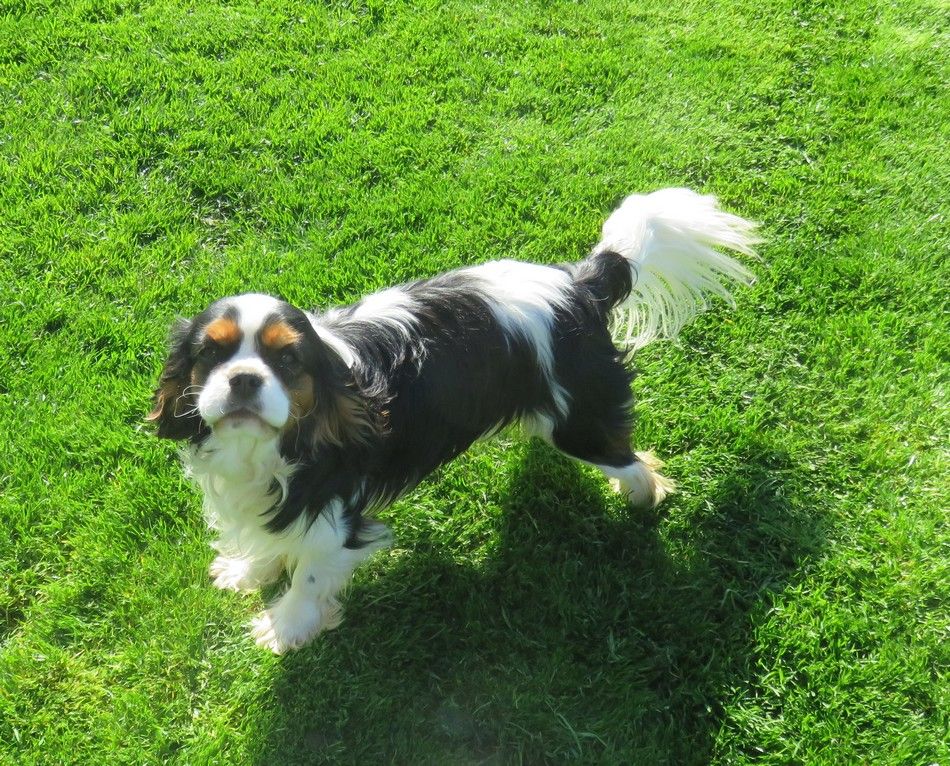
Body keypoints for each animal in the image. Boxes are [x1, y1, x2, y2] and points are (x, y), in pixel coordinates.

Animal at [149, 188, 758, 653]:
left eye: (287, 360)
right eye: (211, 353)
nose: (244, 380)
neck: (262, 449)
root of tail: (578, 284)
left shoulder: (335, 512)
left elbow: (311, 572)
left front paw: (286, 628)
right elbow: (268, 538)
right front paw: (248, 571)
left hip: (579, 423)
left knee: (632, 459)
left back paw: (642, 499)